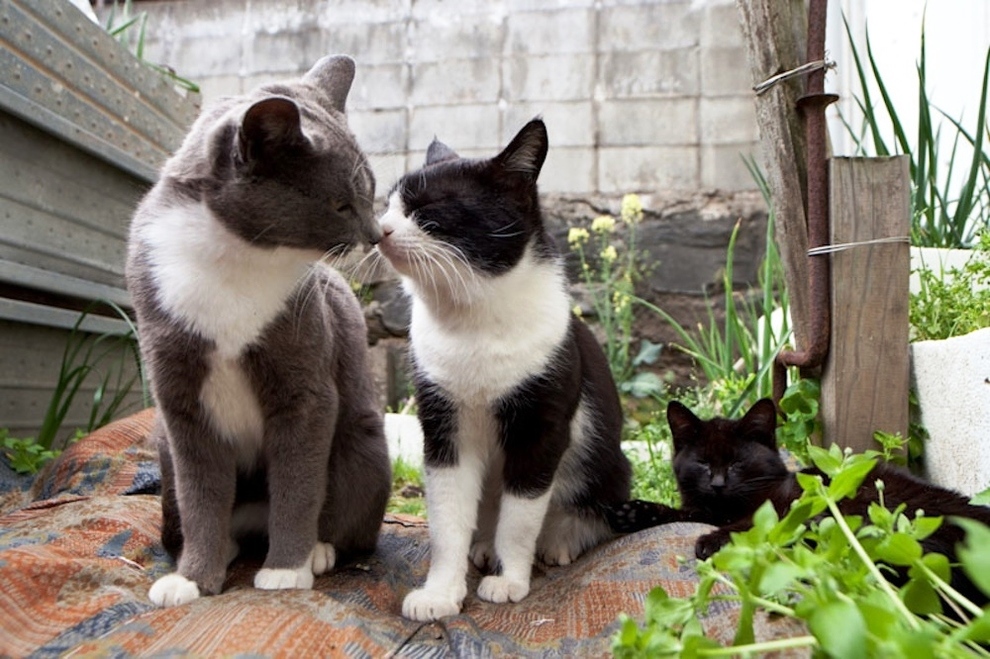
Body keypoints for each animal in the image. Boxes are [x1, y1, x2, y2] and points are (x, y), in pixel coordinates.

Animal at [130, 56, 394, 608]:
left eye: (370, 192)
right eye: (341, 204)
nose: (376, 234)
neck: (236, 257)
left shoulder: (305, 384)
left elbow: (298, 482)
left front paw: (287, 569)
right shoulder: (180, 399)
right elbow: (201, 492)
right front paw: (193, 578)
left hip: (364, 442)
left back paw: (319, 550)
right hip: (161, 449)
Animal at [376, 120, 632, 624]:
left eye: (427, 207)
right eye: (390, 203)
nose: (380, 229)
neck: (473, 321)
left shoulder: (541, 426)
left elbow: (520, 517)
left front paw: (511, 581)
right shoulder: (443, 424)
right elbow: (446, 519)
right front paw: (441, 592)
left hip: (608, 465)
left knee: (591, 508)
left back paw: (559, 539)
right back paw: (481, 546)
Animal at [608, 400, 990, 604]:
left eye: (736, 463)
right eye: (702, 463)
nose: (717, 484)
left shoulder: (787, 502)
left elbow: (758, 524)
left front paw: (713, 541)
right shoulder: (701, 508)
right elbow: (680, 512)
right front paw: (632, 512)